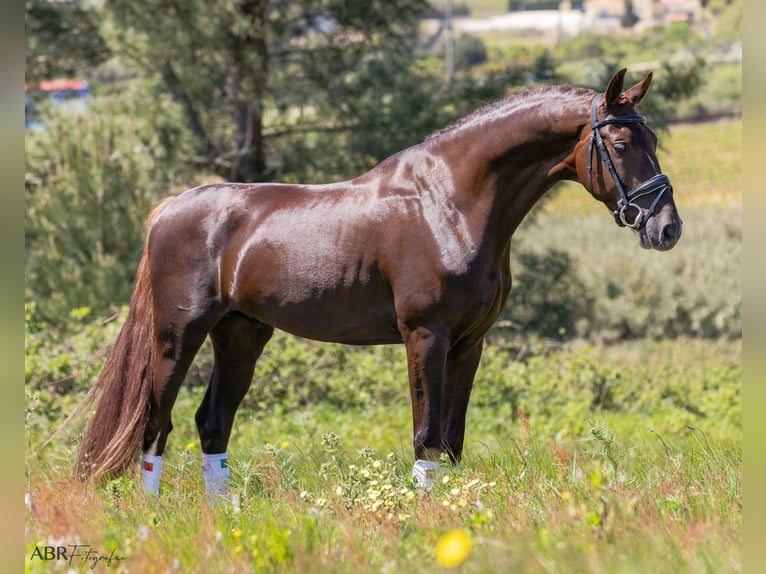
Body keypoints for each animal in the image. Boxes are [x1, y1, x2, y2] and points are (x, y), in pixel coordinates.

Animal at [73, 70, 684, 492]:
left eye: (654, 140)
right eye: (622, 145)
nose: (667, 227)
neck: (450, 202)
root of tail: (171, 208)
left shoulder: (470, 344)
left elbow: (452, 442)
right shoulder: (425, 336)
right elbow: (426, 437)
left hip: (242, 333)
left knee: (212, 422)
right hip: (178, 336)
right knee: (156, 423)